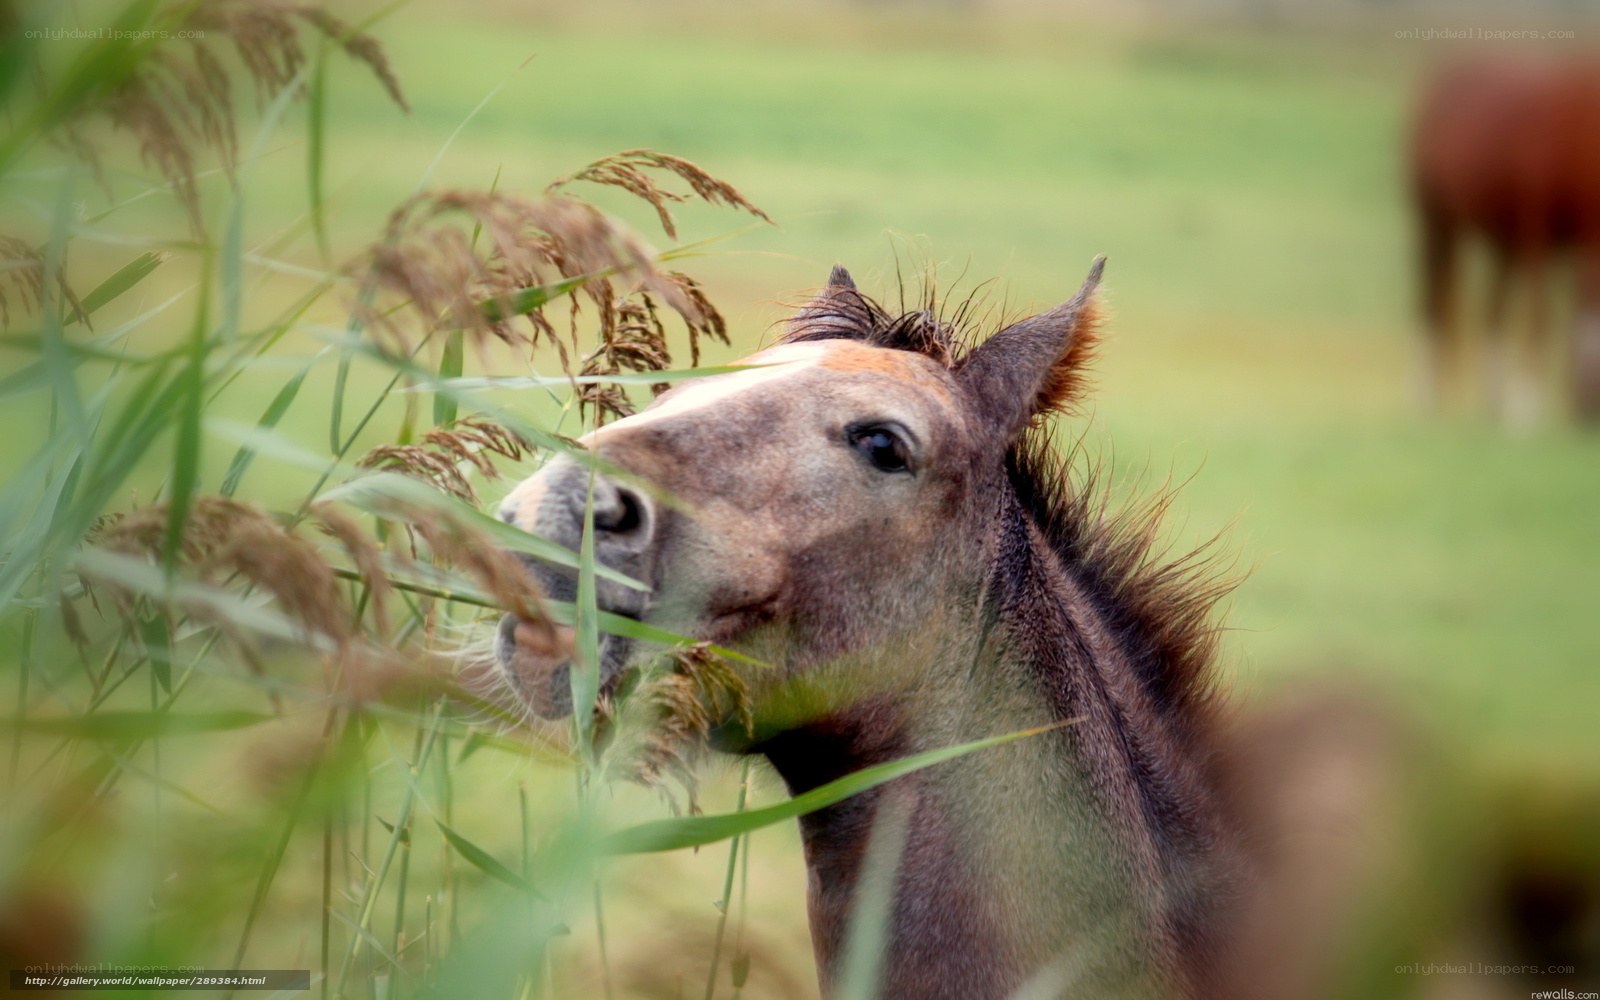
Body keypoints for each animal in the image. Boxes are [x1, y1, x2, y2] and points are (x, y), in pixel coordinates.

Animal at [1410, 56, 1600, 425]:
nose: (1587, 415)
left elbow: (1570, 313)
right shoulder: (1536, 233)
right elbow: (1541, 317)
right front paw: (1525, 410)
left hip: (1500, 242)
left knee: (1492, 310)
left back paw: (1491, 401)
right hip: (1436, 223)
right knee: (1435, 300)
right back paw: (1426, 399)